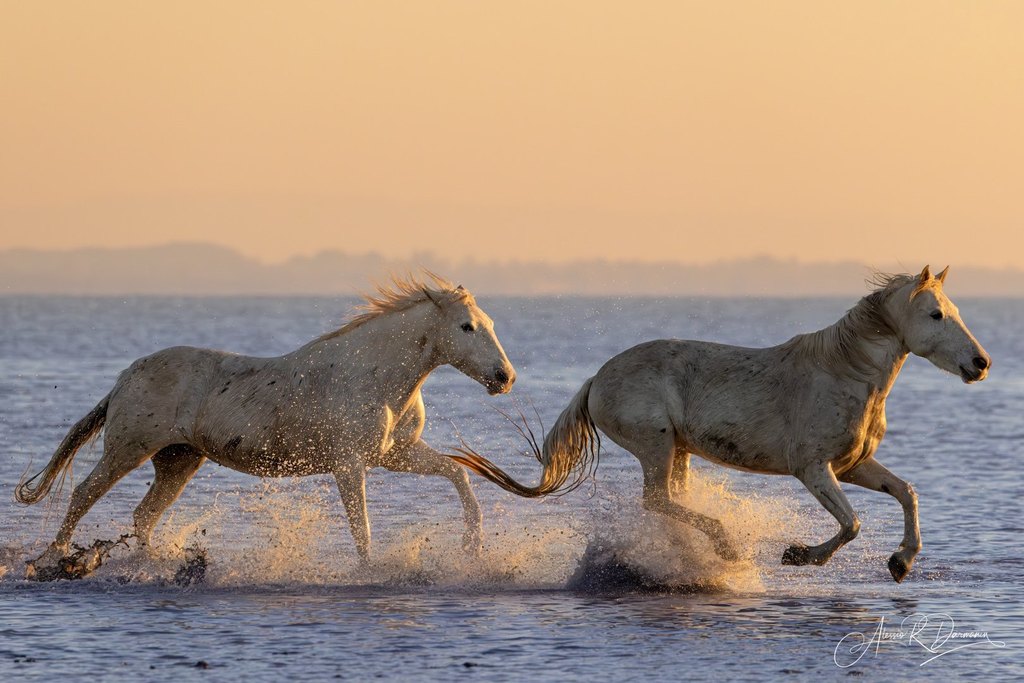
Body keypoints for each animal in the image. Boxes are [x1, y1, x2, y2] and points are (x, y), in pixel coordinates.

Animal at [17, 274, 516, 579]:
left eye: (491, 323)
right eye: (467, 327)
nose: (505, 377)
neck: (375, 376)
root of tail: (126, 376)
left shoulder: (395, 454)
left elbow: (459, 476)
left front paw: (472, 549)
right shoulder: (350, 465)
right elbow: (362, 527)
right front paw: (369, 571)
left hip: (178, 461)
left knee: (144, 515)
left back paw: (151, 564)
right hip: (128, 450)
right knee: (84, 493)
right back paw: (53, 558)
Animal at [452, 266, 990, 583]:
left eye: (954, 311)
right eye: (936, 314)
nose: (980, 364)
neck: (845, 372)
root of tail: (596, 379)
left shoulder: (854, 465)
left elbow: (906, 493)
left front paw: (901, 562)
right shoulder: (813, 469)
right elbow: (851, 523)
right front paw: (800, 555)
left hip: (679, 451)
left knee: (669, 501)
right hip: (656, 445)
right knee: (658, 500)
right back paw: (727, 547)